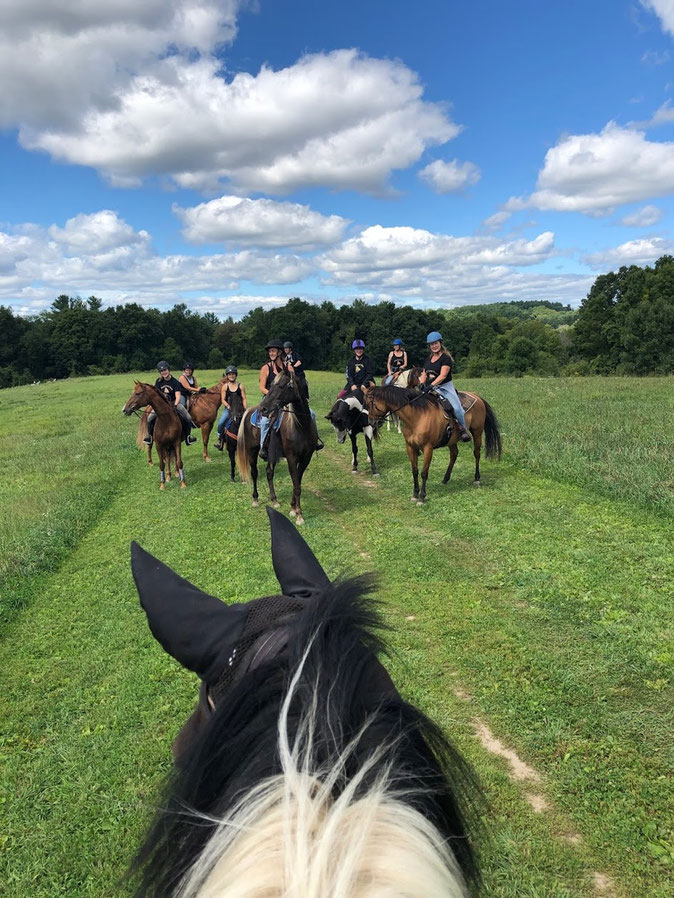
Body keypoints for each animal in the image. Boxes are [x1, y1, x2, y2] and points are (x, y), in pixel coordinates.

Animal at [237, 368, 319, 524]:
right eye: (271, 385)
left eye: (281, 386)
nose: (263, 408)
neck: (300, 426)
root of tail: (249, 411)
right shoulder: (292, 458)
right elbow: (296, 485)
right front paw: (299, 515)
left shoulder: (306, 458)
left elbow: (297, 482)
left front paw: (293, 508)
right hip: (252, 451)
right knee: (254, 473)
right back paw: (255, 499)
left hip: (271, 454)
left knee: (269, 472)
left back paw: (274, 500)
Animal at [364, 384, 501, 504]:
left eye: (370, 403)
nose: (371, 422)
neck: (417, 416)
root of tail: (476, 396)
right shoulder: (410, 447)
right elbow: (414, 471)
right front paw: (415, 494)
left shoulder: (428, 448)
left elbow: (424, 473)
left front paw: (422, 497)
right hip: (452, 440)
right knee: (454, 455)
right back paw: (445, 479)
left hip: (477, 432)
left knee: (476, 454)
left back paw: (476, 478)